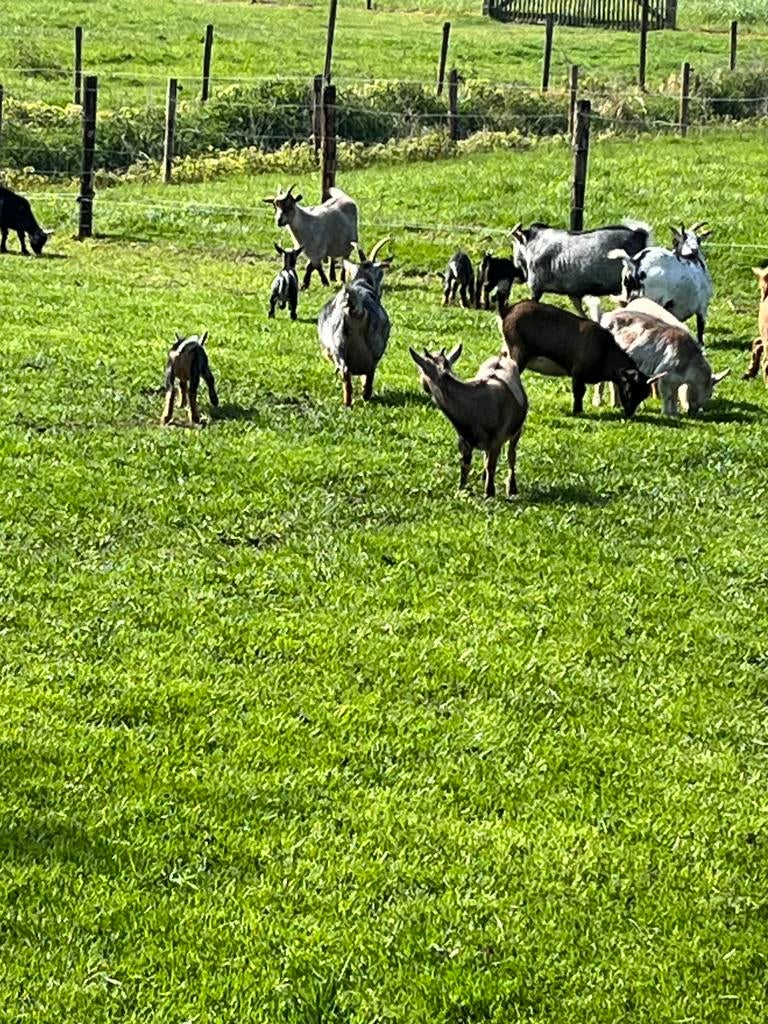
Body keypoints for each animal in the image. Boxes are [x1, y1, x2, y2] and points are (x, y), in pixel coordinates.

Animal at [317, 241, 392, 406]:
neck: (361, 283)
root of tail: (354, 308)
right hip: (373, 344)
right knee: (368, 371)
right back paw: (364, 396)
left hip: (339, 343)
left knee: (346, 372)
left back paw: (347, 402)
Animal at [409, 345, 527, 499]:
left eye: (420, 370)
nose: (423, 386)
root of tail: (501, 359)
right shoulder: (463, 439)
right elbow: (465, 464)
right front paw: (462, 489)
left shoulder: (497, 437)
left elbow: (491, 464)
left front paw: (489, 493)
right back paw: (484, 478)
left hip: (517, 430)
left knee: (511, 455)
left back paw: (512, 488)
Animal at [498, 299, 655, 417]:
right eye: (629, 390)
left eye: (643, 395)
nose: (629, 413)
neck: (605, 351)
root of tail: (508, 310)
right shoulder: (578, 371)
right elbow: (579, 391)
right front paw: (578, 411)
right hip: (519, 352)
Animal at [510, 220, 652, 314]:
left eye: (515, 247)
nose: (517, 277)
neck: (534, 244)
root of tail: (639, 234)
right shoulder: (574, 293)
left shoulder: (536, 287)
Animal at [598, 300, 730, 416]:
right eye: (697, 391)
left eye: (710, 395)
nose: (693, 413)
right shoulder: (664, 375)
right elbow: (668, 396)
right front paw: (666, 413)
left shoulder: (675, 380)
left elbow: (674, 395)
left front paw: (674, 413)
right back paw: (603, 403)